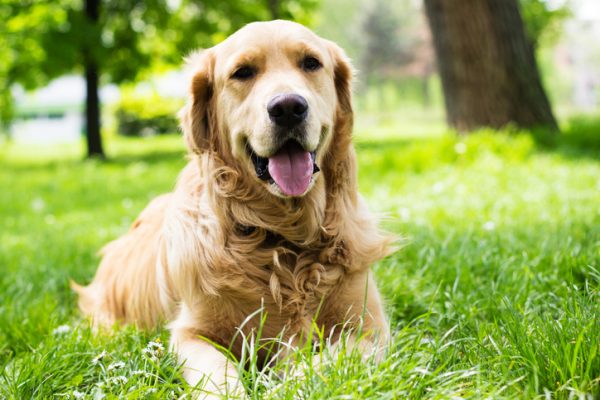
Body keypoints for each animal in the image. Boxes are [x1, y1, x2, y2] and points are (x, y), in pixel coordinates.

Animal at [71, 19, 394, 396]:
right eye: (243, 72)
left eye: (311, 63)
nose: (288, 108)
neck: (283, 237)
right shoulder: (192, 333)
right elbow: (218, 374)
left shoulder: (369, 329)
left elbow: (321, 364)